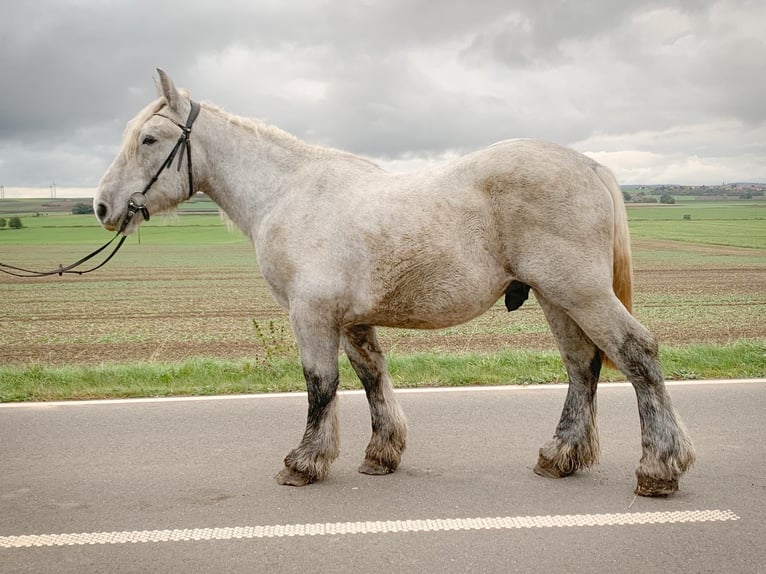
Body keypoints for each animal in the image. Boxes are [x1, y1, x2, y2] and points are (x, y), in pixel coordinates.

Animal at [94, 70, 696, 498]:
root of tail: (590, 165)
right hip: (557, 298)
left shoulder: (311, 315)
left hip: (581, 293)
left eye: (149, 139)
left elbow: (320, 386)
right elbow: (371, 378)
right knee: (582, 366)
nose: (102, 206)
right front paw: (380, 455)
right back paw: (560, 457)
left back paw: (659, 468)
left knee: (637, 353)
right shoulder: (353, 320)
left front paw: (304, 463)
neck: (288, 192)